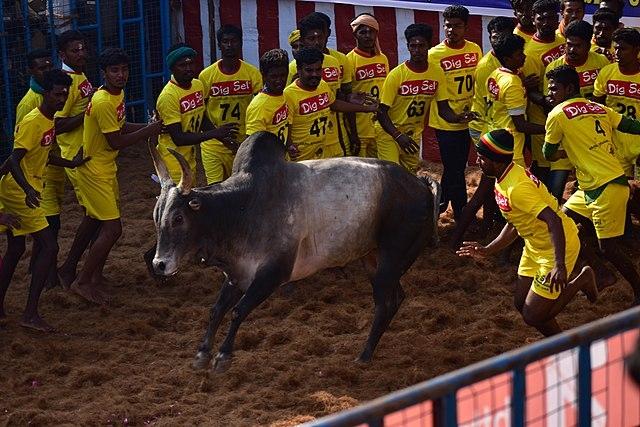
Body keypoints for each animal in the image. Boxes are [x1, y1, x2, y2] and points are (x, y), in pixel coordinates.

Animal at [150, 132, 440, 372]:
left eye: (178, 218)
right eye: (157, 215)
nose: (159, 264)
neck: (242, 208)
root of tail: (420, 184)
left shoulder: (272, 274)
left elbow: (238, 311)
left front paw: (223, 357)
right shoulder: (236, 273)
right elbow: (217, 309)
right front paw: (202, 354)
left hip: (391, 258)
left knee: (384, 302)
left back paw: (364, 354)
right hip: (373, 258)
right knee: (396, 297)